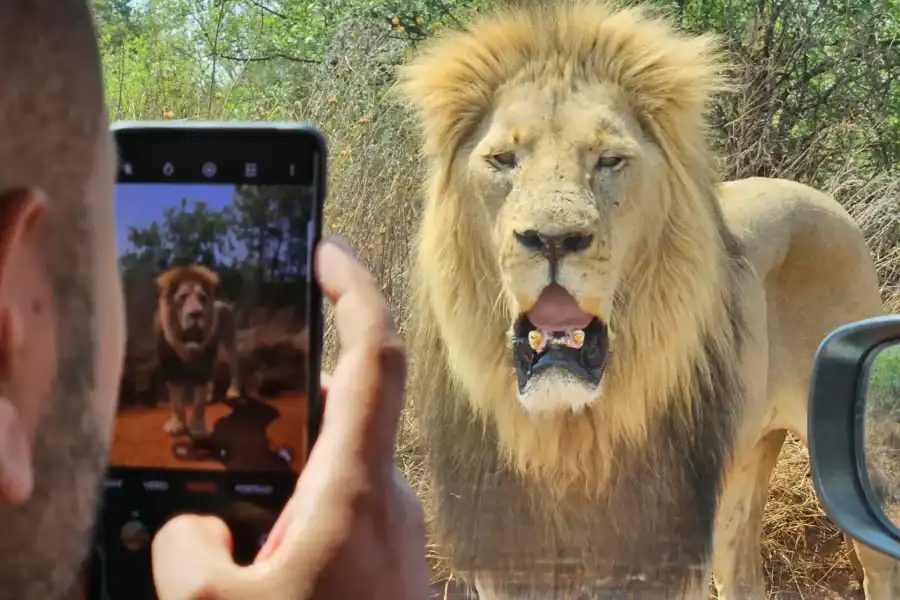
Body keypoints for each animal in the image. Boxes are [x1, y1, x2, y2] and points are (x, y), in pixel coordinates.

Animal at [154, 264, 242, 438]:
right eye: (182, 297)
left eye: (202, 297)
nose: (197, 313)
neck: (188, 340)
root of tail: (223, 303)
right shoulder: (171, 370)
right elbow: (176, 401)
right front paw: (177, 424)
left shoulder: (203, 367)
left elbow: (199, 403)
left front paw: (197, 428)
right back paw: (210, 395)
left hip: (229, 342)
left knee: (234, 365)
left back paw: (233, 391)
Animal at [398, 2, 899, 599]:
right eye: (502, 159)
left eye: (610, 160)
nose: (553, 240)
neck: (567, 438)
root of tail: (821, 198)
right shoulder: (506, 559)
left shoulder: (660, 557)